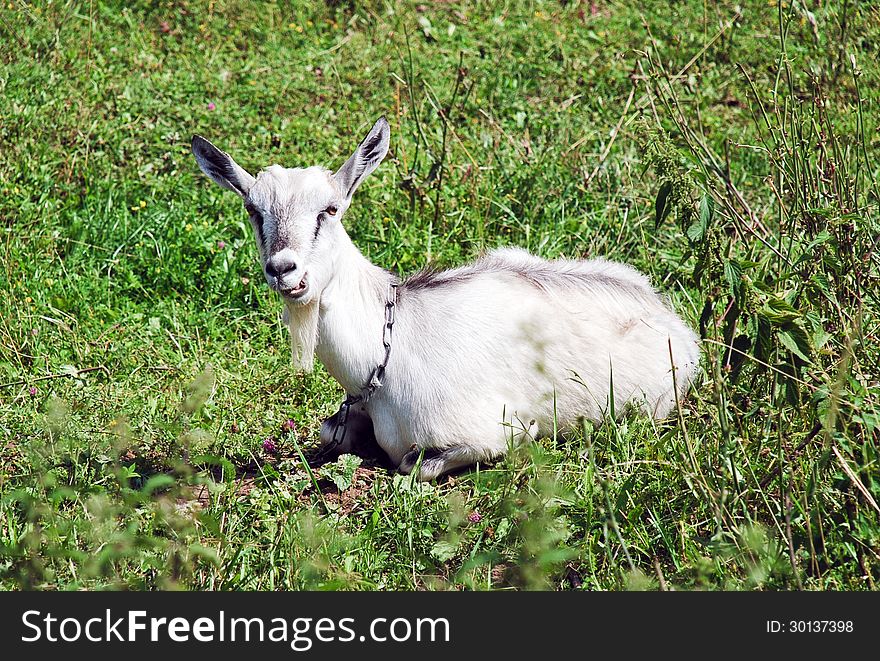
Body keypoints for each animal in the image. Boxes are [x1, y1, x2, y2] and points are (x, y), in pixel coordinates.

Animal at [192, 117, 700, 480]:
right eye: (253, 210)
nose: (284, 270)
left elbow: (416, 464)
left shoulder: (491, 431)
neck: (386, 350)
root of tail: (668, 316)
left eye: (329, 210)